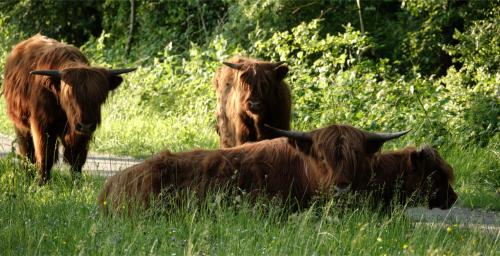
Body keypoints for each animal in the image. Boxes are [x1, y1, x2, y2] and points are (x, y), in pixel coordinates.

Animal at [2, 35, 135, 183]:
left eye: (101, 97)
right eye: (70, 96)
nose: (86, 125)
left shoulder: (80, 134)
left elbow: (77, 159)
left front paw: (76, 183)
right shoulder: (42, 126)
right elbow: (45, 156)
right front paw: (42, 183)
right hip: (20, 125)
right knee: (27, 152)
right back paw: (28, 176)